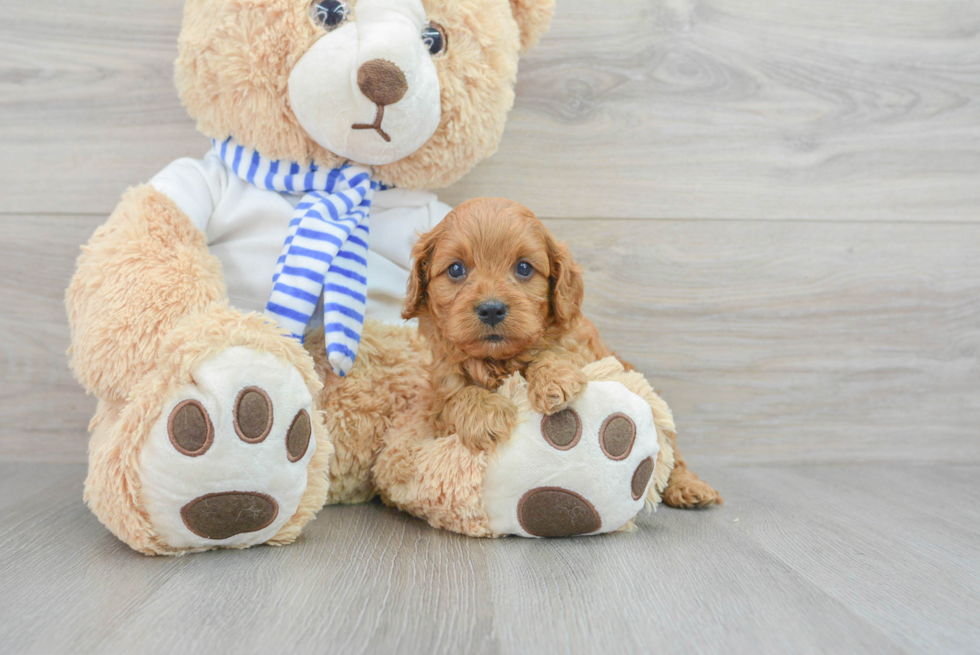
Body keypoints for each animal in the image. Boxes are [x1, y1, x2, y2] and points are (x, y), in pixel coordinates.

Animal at [402, 197, 724, 510]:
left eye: (524, 268)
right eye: (456, 269)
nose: (492, 309)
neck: (500, 359)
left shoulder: (584, 352)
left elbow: (552, 353)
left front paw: (553, 381)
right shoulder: (439, 397)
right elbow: (457, 397)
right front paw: (486, 414)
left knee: (672, 454)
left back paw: (689, 487)